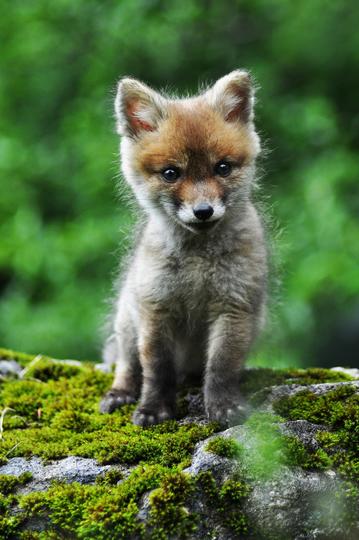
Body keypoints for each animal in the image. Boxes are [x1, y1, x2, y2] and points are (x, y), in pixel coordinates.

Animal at [100, 70, 268, 426]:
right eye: (170, 173)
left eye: (222, 168)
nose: (203, 211)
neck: (197, 262)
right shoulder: (155, 309)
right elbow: (157, 368)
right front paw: (153, 409)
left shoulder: (234, 307)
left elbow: (221, 367)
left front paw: (224, 407)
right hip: (127, 321)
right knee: (127, 365)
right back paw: (119, 393)